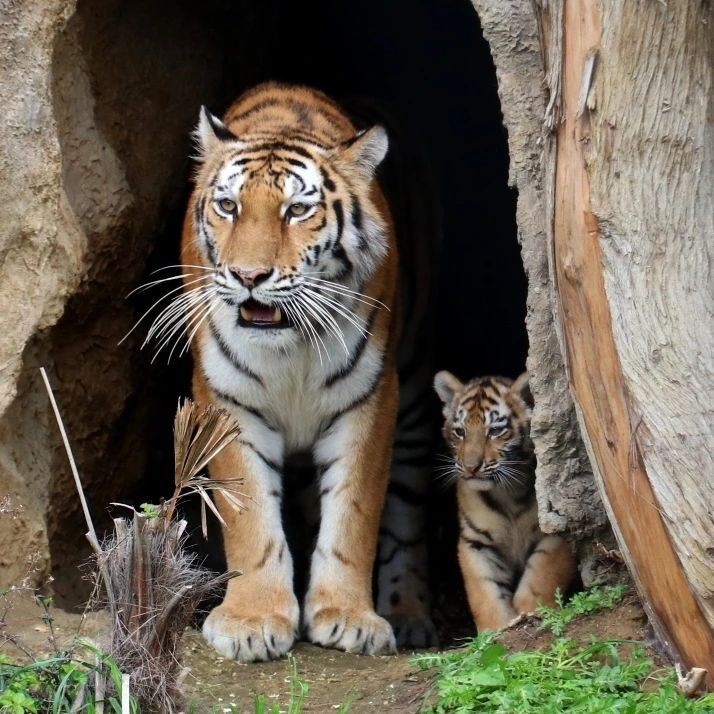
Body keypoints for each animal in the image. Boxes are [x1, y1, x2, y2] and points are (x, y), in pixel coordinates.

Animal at [179, 85, 434, 660]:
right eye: (228, 206)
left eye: (297, 210)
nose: (248, 275)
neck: (289, 346)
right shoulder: (226, 399)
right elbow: (250, 514)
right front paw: (251, 621)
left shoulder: (370, 397)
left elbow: (354, 512)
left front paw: (348, 616)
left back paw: (409, 614)